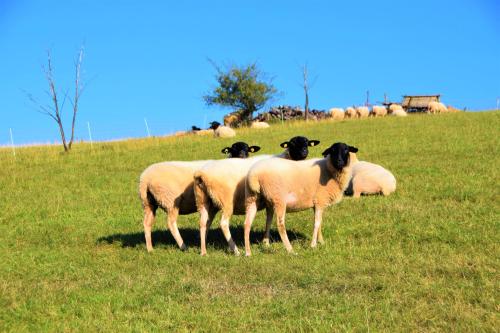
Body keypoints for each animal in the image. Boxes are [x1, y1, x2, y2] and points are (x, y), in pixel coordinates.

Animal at [193, 135, 322, 254]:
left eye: (307, 143)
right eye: (292, 144)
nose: (304, 152)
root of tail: (202, 174)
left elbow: (269, 219)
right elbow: (270, 220)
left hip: (205, 202)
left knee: (204, 223)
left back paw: (203, 249)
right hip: (226, 201)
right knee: (223, 224)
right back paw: (236, 250)